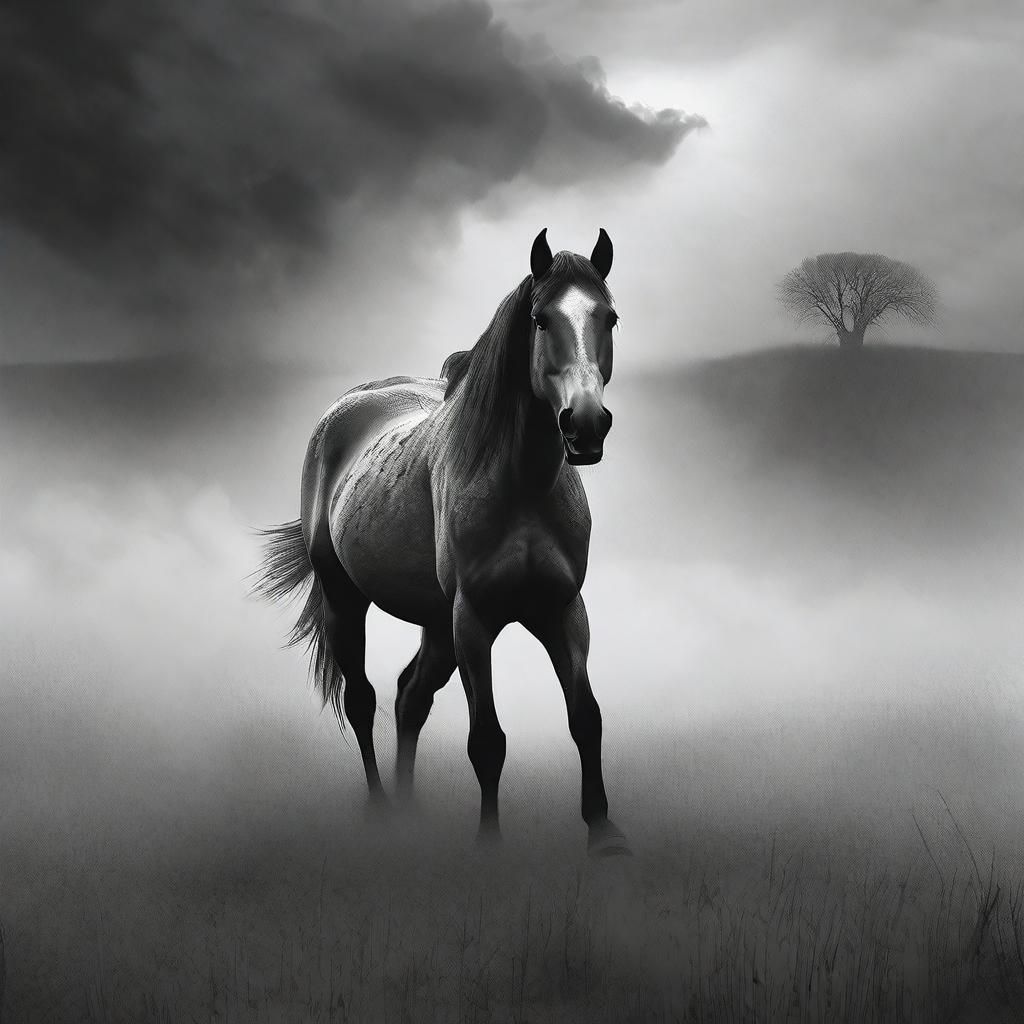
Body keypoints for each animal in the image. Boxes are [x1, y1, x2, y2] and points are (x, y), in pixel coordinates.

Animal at [255, 229, 629, 856]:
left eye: (610, 316)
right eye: (540, 318)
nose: (585, 425)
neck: (520, 487)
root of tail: (343, 411)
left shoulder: (562, 610)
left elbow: (586, 717)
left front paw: (604, 833)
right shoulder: (473, 619)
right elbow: (488, 741)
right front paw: (489, 843)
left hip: (436, 623)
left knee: (411, 696)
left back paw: (410, 812)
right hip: (348, 600)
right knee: (363, 700)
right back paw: (382, 810)